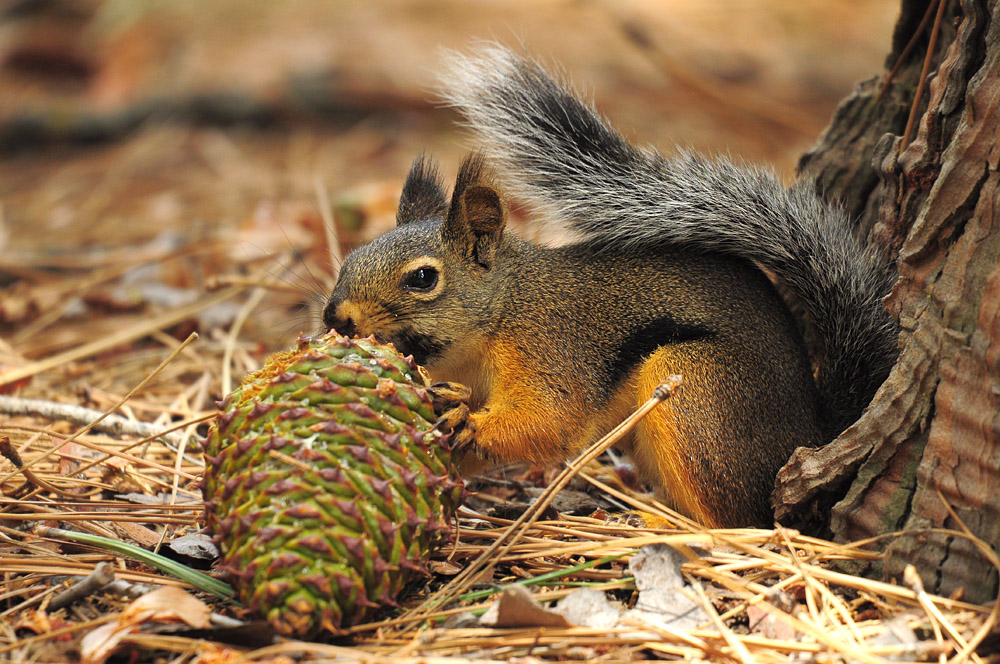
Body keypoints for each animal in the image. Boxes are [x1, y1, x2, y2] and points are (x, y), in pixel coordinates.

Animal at [322, 45, 898, 528]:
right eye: (348, 258)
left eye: (423, 278)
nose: (336, 319)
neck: (503, 310)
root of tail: (815, 432)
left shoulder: (553, 348)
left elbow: (547, 421)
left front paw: (470, 422)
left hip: (700, 393)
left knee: (737, 522)